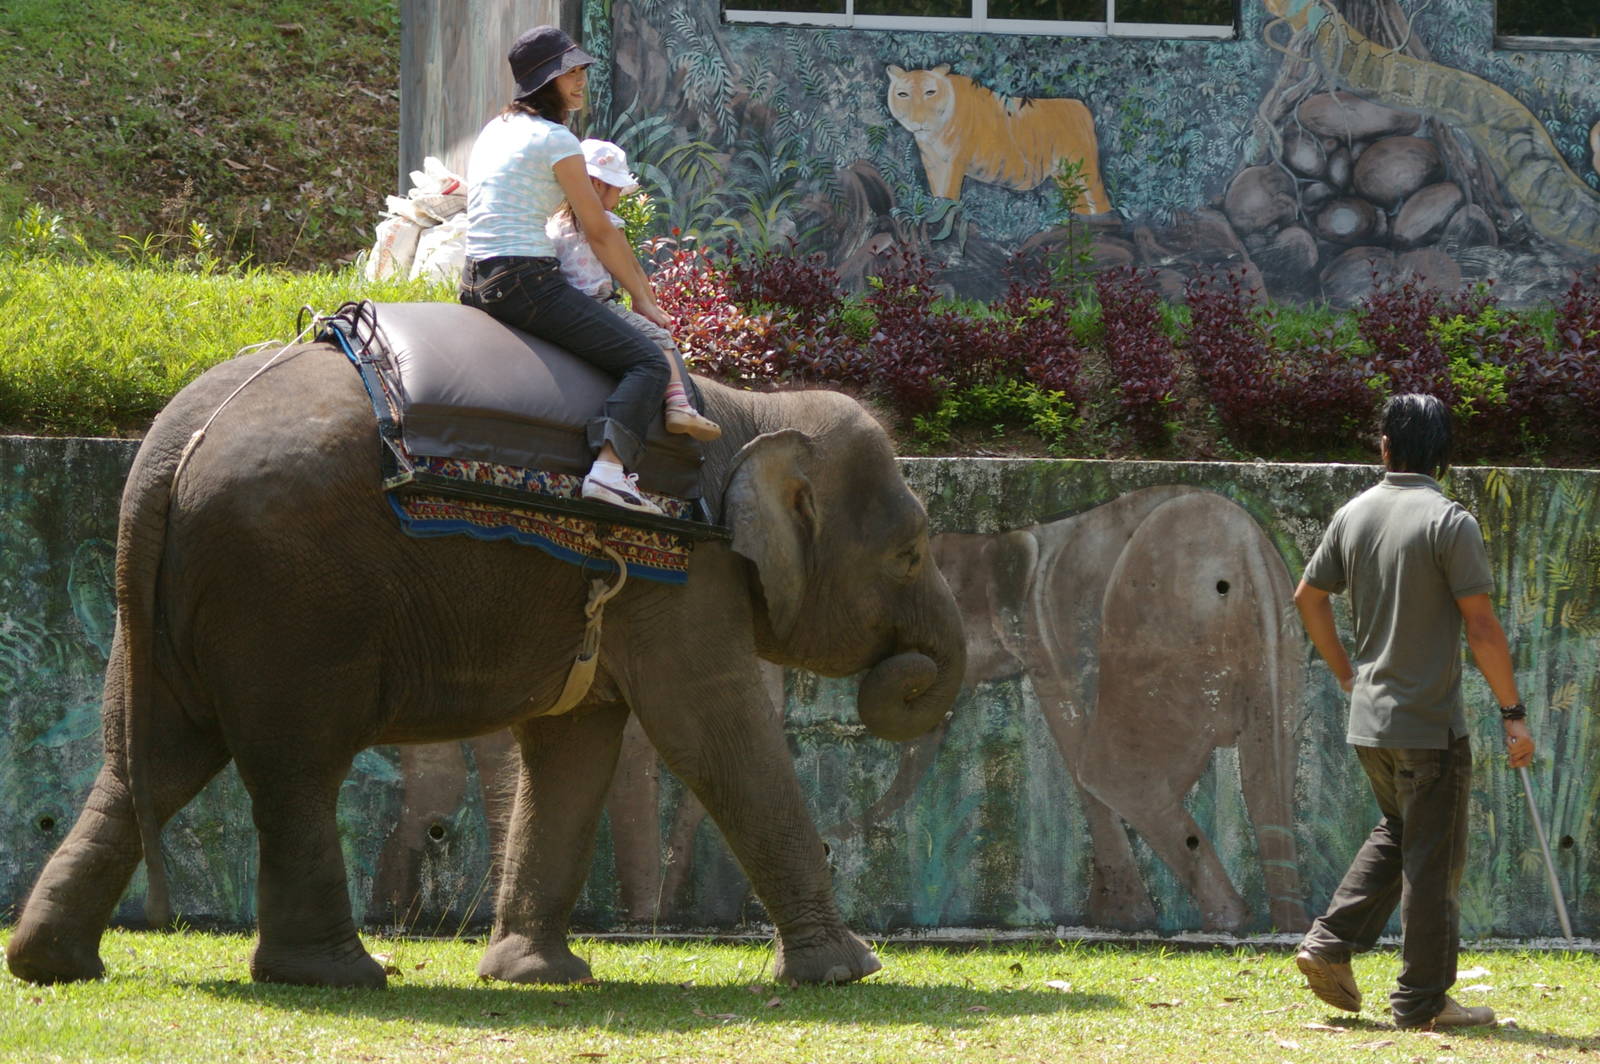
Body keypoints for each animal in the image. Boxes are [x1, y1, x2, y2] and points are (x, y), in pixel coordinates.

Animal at [5, 336, 967, 989]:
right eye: (912, 554)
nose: (912, 672)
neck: (756, 409)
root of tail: (166, 454)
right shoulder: (687, 578)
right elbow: (712, 731)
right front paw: (850, 973)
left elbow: (576, 745)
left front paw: (533, 977)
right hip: (287, 599)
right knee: (295, 767)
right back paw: (342, 975)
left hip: (169, 607)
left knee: (148, 760)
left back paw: (55, 965)